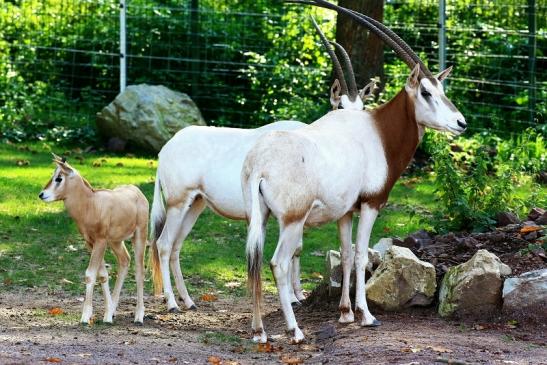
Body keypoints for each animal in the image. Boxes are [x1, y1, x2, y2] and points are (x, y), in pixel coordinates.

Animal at [39, 155, 149, 322]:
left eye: (59, 178)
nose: (42, 194)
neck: (90, 204)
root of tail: (138, 193)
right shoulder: (90, 243)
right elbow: (102, 275)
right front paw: (107, 314)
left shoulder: (100, 241)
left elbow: (90, 274)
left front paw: (85, 317)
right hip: (115, 241)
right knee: (124, 260)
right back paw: (114, 310)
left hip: (139, 235)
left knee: (139, 270)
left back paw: (139, 316)